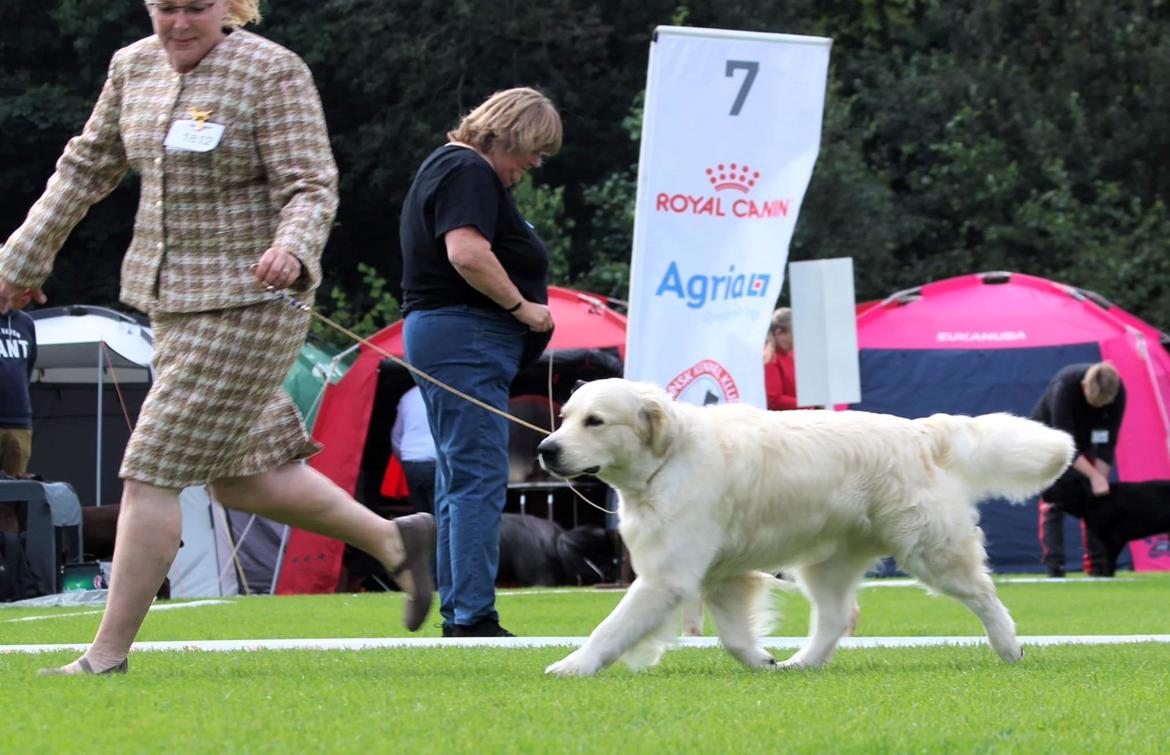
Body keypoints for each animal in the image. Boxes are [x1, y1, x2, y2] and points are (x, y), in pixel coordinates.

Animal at [535, 379, 1071, 674]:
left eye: (595, 421)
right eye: (564, 417)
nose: (546, 449)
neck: (666, 461)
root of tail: (918, 429)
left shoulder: (667, 578)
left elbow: (611, 628)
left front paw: (572, 665)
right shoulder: (720, 576)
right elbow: (733, 636)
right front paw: (763, 660)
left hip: (930, 551)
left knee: (984, 594)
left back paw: (1009, 647)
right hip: (826, 562)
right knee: (837, 617)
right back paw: (800, 664)